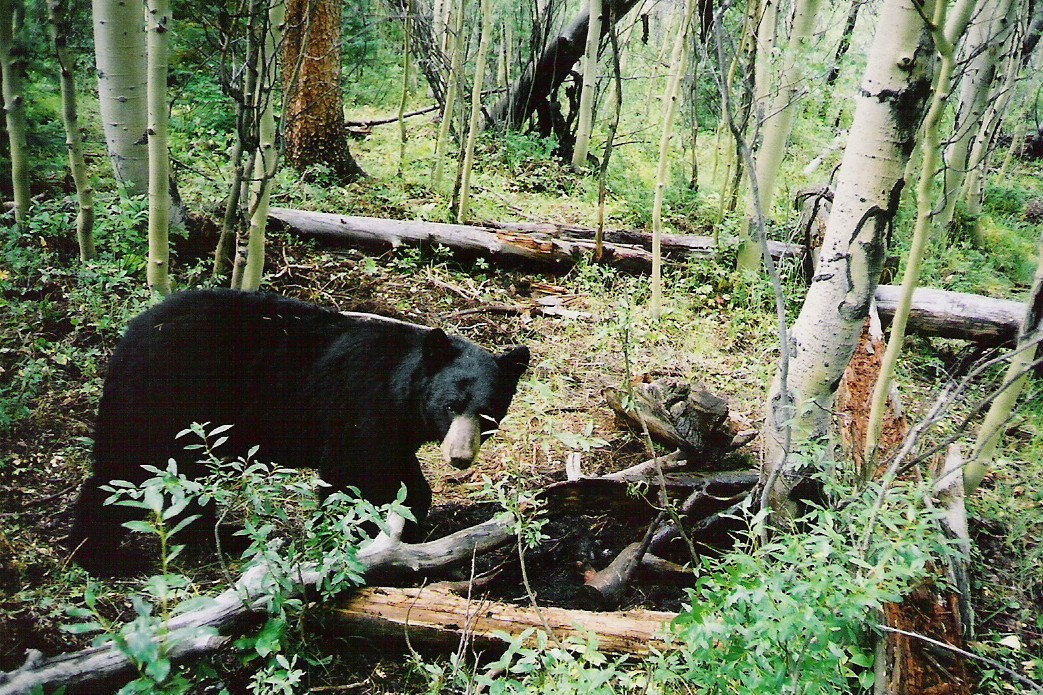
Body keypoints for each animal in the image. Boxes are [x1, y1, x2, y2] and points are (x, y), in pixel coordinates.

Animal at [69, 289, 530, 575]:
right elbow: (347, 474)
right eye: (450, 405)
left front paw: (411, 522)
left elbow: (404, 476)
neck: (400, 389)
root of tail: (132, 332)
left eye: (487, 413)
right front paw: (350, 537)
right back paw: (97, 556)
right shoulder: (359, 406)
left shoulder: (393, 429)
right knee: (122, 468)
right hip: (165, 400)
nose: (460, 457)